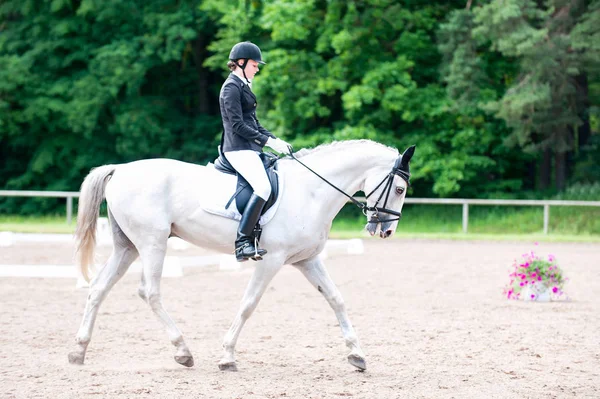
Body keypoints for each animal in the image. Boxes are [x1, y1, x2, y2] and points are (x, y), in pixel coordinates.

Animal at [69, 140, 412, 372]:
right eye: (399, 189)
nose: (385, 230)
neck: (311, 192)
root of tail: (120, 170)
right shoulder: (271, 259)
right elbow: (249, 304)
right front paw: (227, 357)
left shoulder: (306, 259)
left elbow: (336, 299)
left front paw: (356, 355)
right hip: (152, 242)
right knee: (149, 291)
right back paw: (183, 351)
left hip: (127, 246)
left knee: (99, 288)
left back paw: (78, 351)